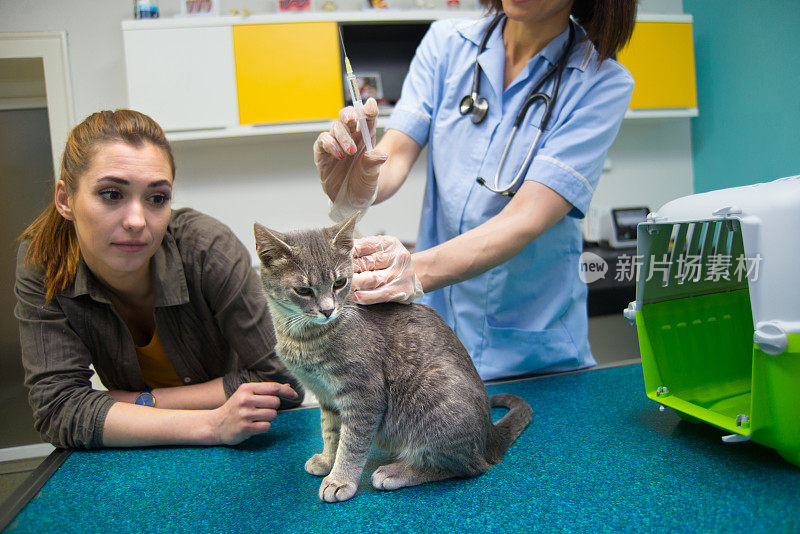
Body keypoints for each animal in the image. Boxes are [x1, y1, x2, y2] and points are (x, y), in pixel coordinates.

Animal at [253, 216, 536, 504]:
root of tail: (489, 434)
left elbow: (351, 443)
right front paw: (326, 460)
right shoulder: (326, 397)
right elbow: (331, 433)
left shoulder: (364, 394)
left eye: (339, 283)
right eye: (303, 290)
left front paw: (340, 479)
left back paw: (398, 472)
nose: (328, 310)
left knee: (468, 465)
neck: (302, 337)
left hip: (434, 398)